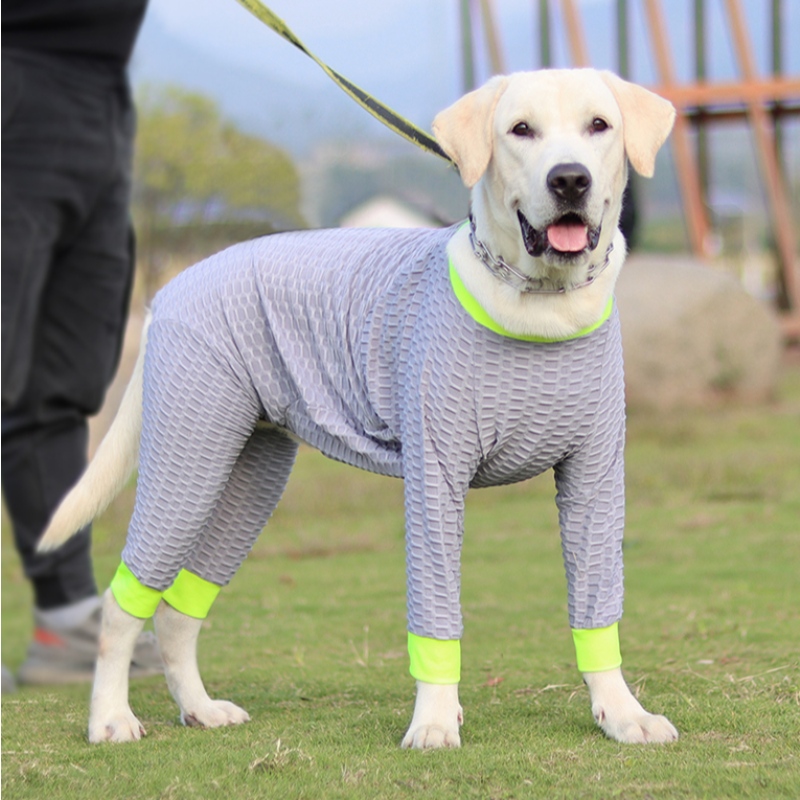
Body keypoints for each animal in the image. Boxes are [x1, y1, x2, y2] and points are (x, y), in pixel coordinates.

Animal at [39, 70, 676, 752]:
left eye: (599, 126)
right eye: (520, 129)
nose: (569, 179)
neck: (542, 306)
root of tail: (169, 291)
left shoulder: (595, 478)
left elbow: (597, 608)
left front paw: (623, 713)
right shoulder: (435, 478)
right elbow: (436, 614)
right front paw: (433, 722)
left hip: (250, 478)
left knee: (179, 612)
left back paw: (200, 709)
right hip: (189, 461)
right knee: (121, 604)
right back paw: (110, 717)